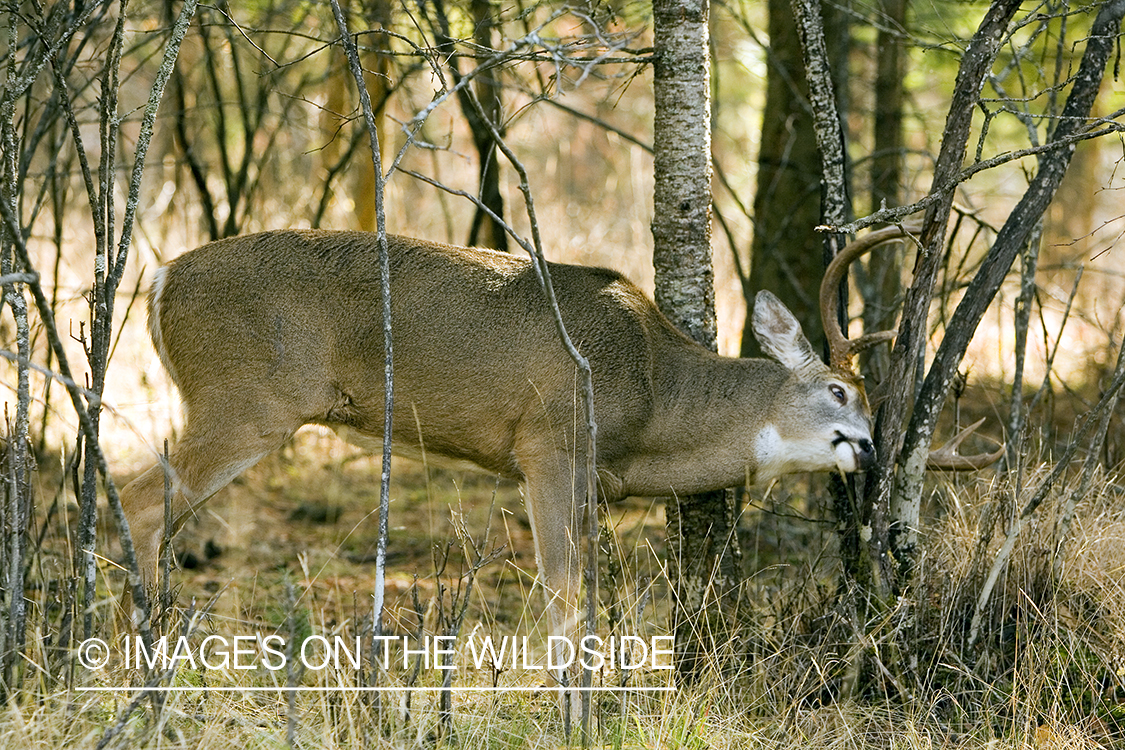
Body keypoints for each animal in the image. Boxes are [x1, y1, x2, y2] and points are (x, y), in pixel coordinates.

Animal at [120, 226, 994, 683]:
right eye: (841, 393)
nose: (871, 449)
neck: (654, 398)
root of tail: (159, 280)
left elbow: (591, 595)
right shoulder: (548, 445)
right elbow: (563, 595)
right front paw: (565, 697)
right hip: (244, 400)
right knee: (136, 500)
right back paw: (138, 655)